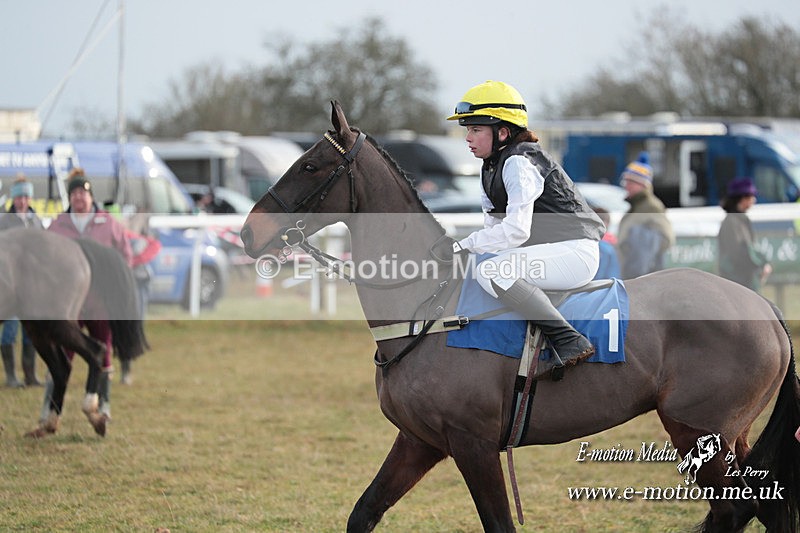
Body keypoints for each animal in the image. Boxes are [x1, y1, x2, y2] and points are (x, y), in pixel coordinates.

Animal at [0, 227, 148, 437]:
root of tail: (75, 245)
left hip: (54, 323)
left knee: (94, 351)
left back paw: (93, 414)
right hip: (38, 329)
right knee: (61, 369)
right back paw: (50, 423)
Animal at [240, 101, 800, 533]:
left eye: (310, 167)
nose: (247, 233)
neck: (429, 309)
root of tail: (764, 307)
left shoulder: (473, 446)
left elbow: (498, 523)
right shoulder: (419, 441)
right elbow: (364, 512)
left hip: (703, 436)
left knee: (740, 510)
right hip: (730, 438)